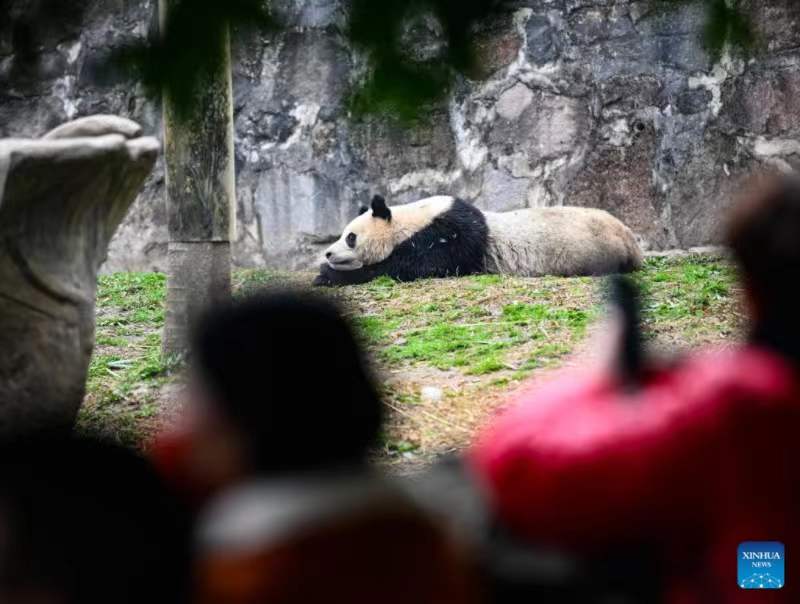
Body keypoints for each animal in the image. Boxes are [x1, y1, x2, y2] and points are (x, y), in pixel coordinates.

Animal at [314, 195, 644, 286]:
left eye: (350, 237)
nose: (328, 253)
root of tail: (631, 241)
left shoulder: (449, 234)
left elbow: (412, 267)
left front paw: (327, 275)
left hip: (598, 248)